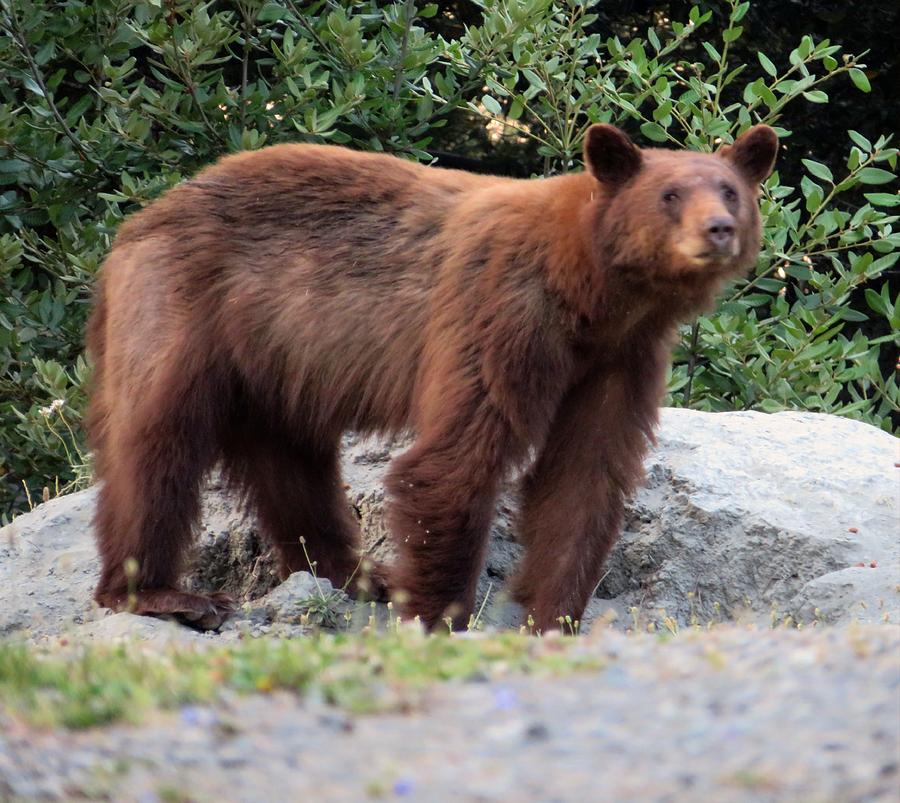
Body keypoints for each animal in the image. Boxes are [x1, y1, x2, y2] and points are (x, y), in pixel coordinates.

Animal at [84, 122, 776, 632]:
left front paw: (553, 618)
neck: (589, 292)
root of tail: (135, 225)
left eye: (729, 190)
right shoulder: (500, 311)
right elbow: (457, 458)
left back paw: (362, 574)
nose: (718, 228)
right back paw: (160, 594)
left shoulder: (620, 358)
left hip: (275, 364)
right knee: (156, 441)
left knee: (293, 463)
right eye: (669, 195)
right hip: (179, 307)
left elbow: (587, 474)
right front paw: (440, 617)